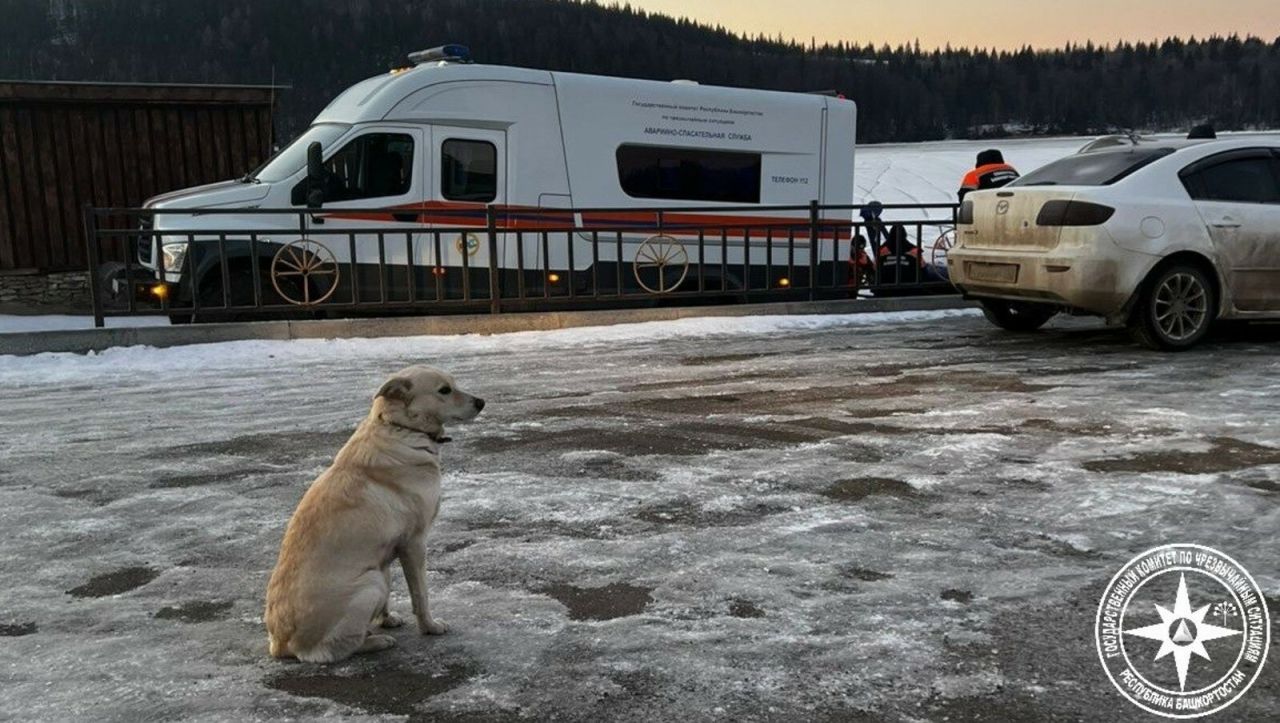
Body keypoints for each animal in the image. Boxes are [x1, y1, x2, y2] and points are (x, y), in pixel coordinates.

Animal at [262, 363, 481, 660]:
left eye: (454, 384)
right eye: (444, 390)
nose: (481, 402)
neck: (401, 428)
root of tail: (281, 644)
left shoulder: (386, 553)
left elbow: (392, 594)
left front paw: (386, 619)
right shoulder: (414, 543)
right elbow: (420, 594)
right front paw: (429, 627)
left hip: (376, 574)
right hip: (370, 582)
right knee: (331, 650)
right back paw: (375, 642)